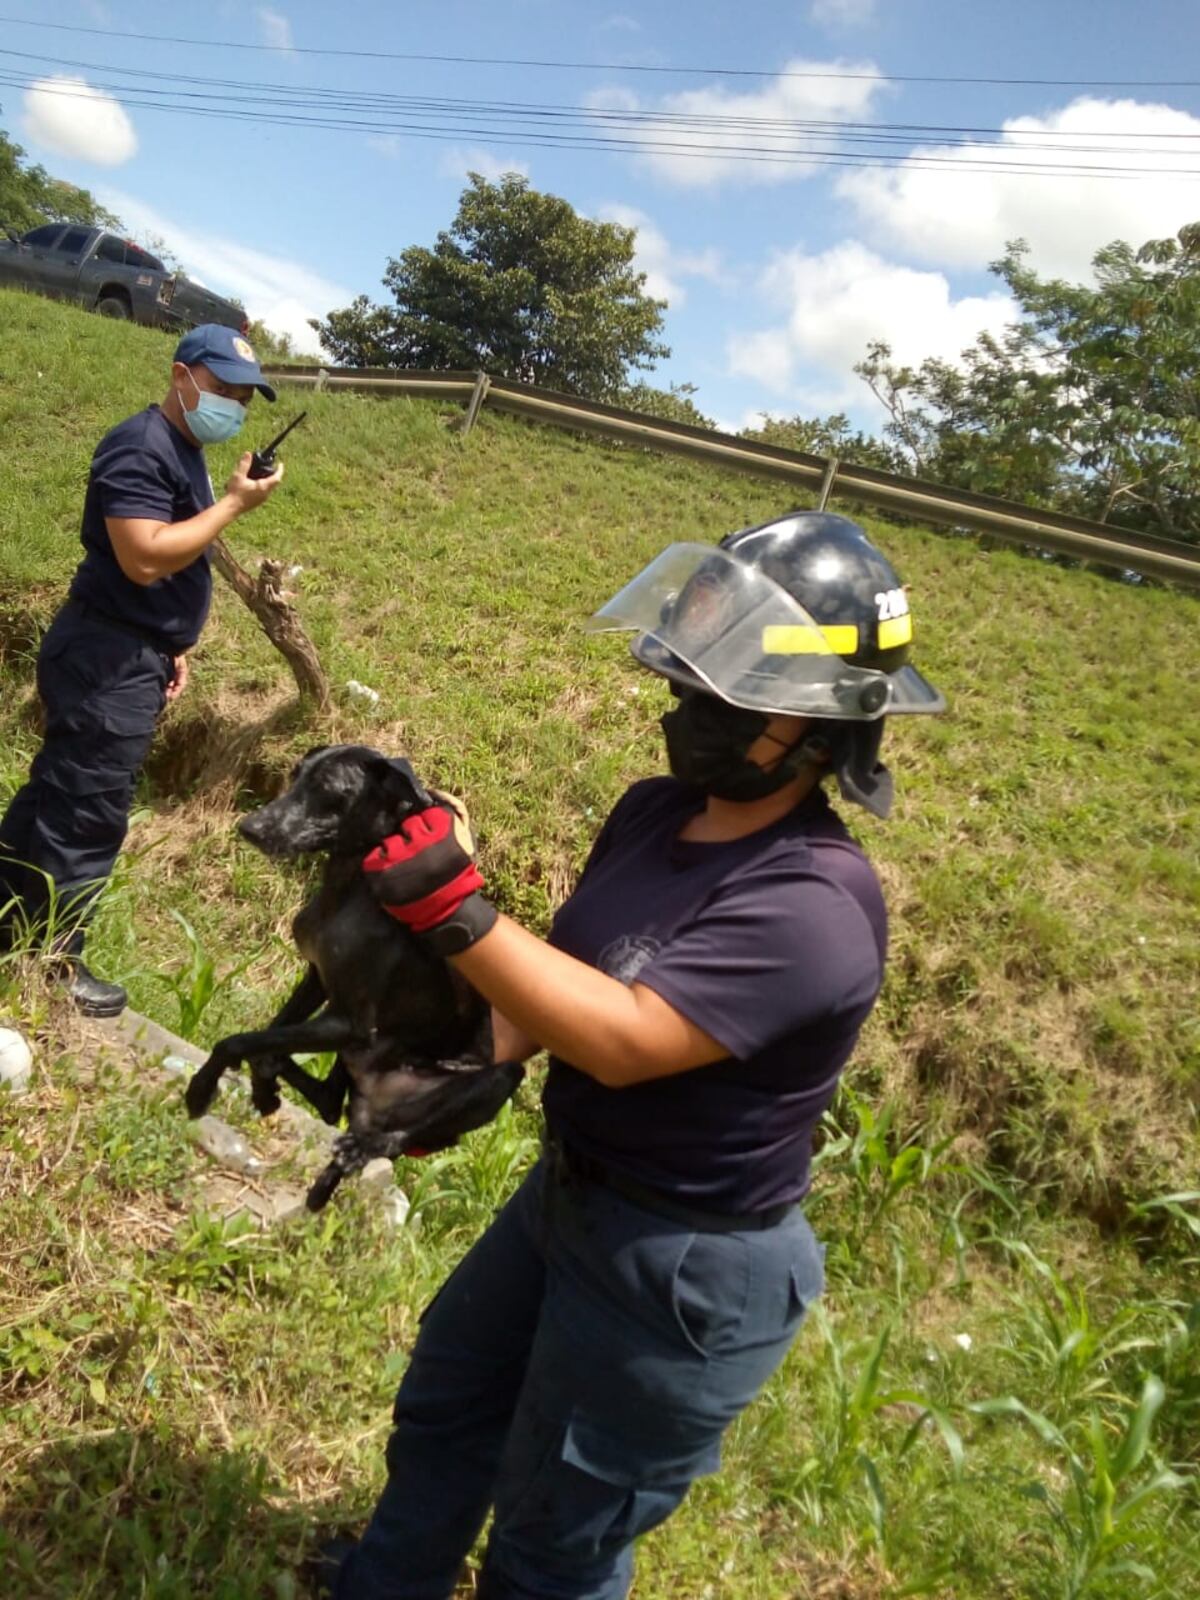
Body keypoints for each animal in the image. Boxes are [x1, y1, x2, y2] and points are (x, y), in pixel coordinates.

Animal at [183, 748, 521, 1209]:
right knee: (328, 1103)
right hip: (349, 1069)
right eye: (295, 775)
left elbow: (237, 1041)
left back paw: (362, 1149)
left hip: (496, 1079)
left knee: (397, 1138)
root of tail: (373, 1112)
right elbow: (267, 1038)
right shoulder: (316, 981)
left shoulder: (350, 1024)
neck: (346, 896)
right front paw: (262, 1088)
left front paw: (201, 1090)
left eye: (328, 789)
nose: (250, 827)